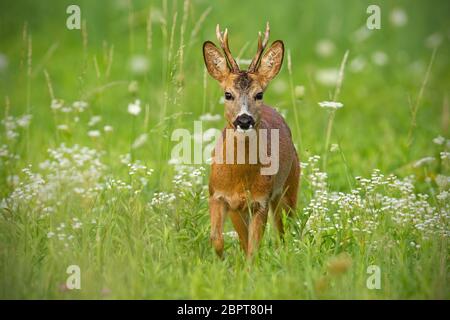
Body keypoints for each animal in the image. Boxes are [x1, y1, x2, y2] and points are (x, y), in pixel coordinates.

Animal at [203, 23, 298, 258]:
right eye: (228, 94)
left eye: (259, 94)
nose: (244, 119)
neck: (239, 178)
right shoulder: (217, 195)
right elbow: (217, 239)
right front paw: (222, 261)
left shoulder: (260, 201)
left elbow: (253, 248)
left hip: (289, 186)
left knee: (286, 231)